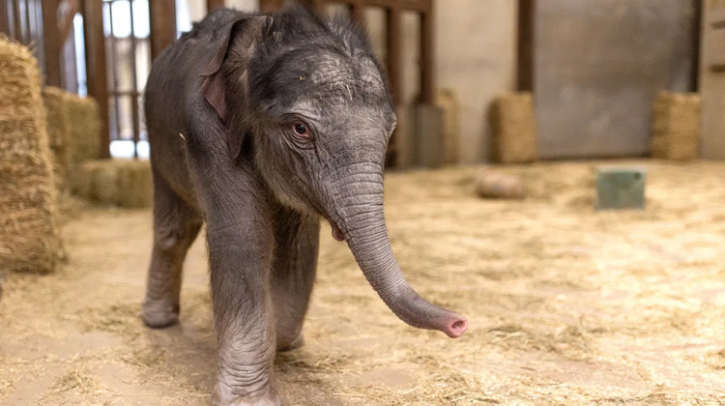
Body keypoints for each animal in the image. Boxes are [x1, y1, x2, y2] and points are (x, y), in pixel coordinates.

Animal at [141, 5, 467, 405]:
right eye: (300, 129)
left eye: (390, 131)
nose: (459, 324)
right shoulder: (207, 130)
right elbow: (244, 238)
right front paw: (250, 400)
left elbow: (297, 245)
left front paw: (284, 341)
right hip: (157, 142)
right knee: (174, 230)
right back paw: (158, 321)